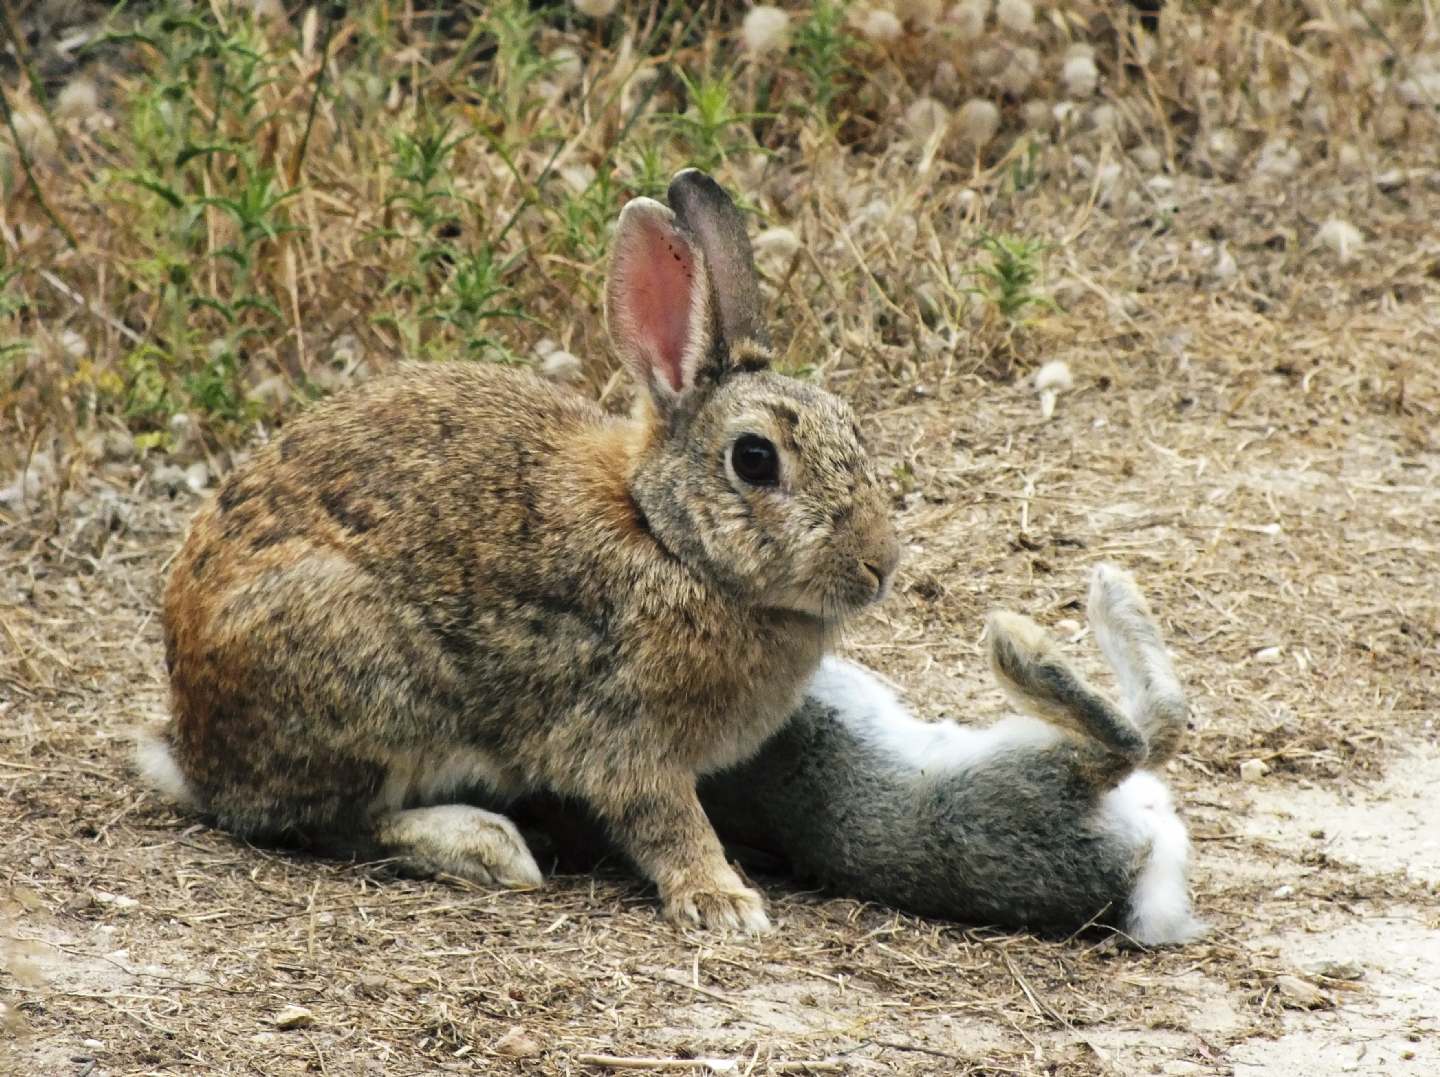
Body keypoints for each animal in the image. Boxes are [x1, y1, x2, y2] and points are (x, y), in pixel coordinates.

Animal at [137, 170, 898, 933]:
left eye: (855, 428)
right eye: (754, 459)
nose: (880, 565)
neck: (664, 536)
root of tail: (193, 751)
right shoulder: (624, 731)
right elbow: (668, 820)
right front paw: (724, 901)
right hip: (363, 683)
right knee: (332, 822)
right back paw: (486, 845)